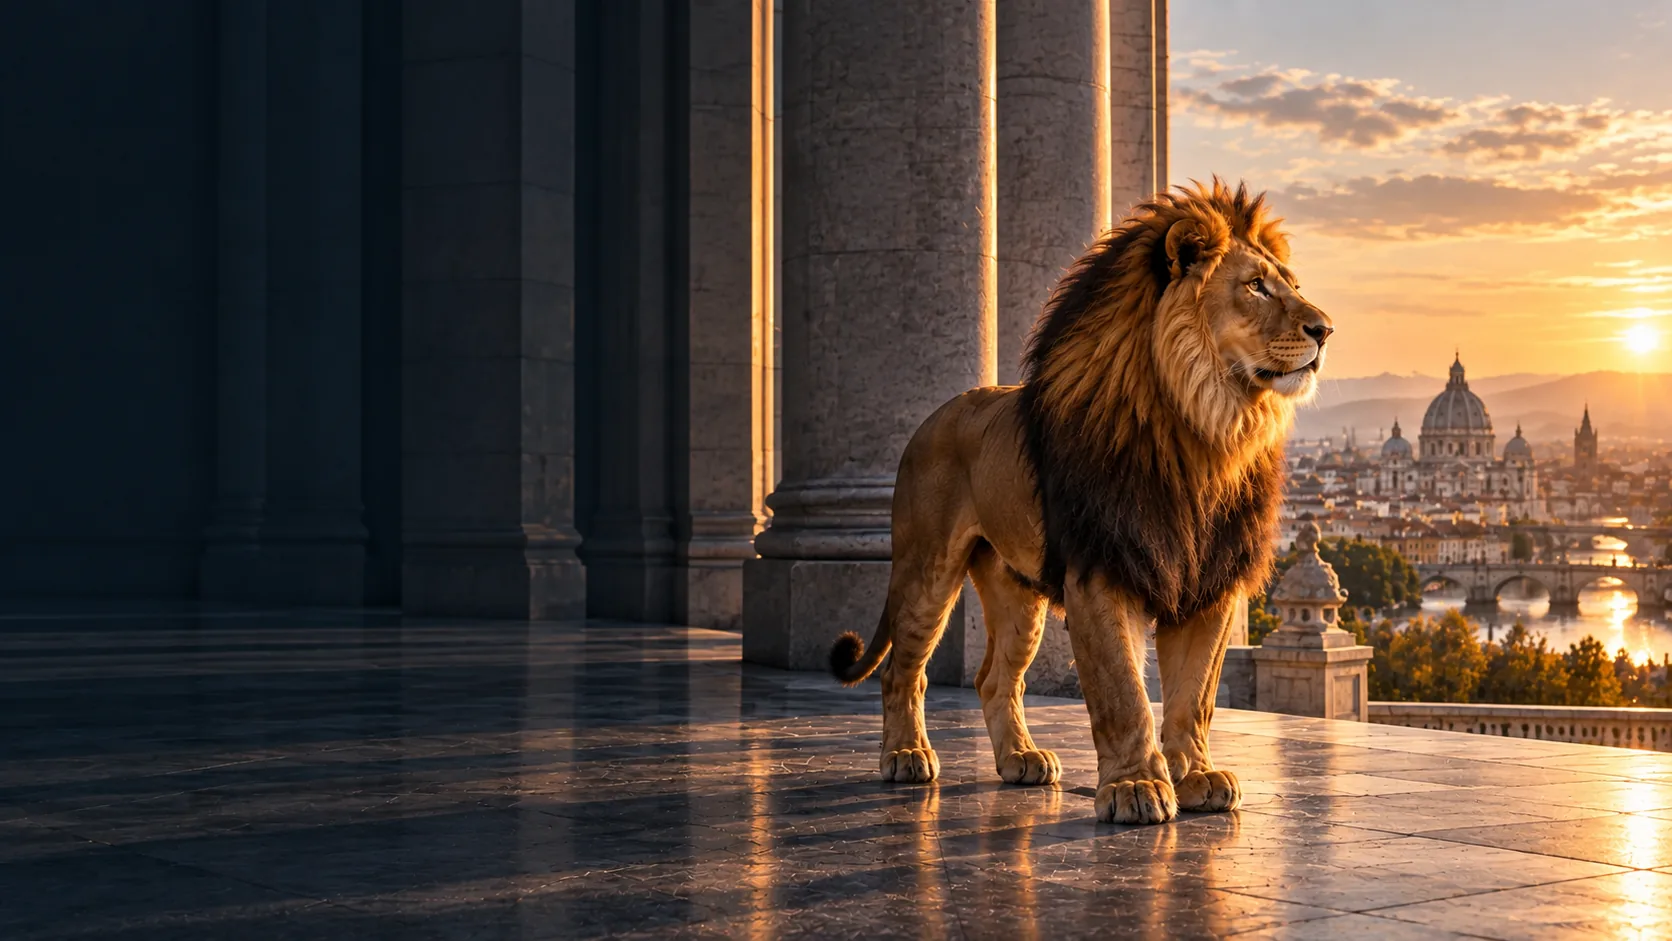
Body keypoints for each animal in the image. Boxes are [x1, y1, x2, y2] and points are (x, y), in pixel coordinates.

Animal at [828, 180, 1332, 825]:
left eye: (1291, 283)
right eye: (1255, 286)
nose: (1326, 330)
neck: (1203, 427)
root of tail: (940, 412)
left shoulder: (1210, 579)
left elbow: (1194, 695)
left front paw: (1196, 775)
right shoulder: (1100, 568)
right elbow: (1123, 691)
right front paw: (1136, 787)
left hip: (1018, 594)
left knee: (994, 679)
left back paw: (1021, 760)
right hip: (926, 569)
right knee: (901, 671)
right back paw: (906, 755)